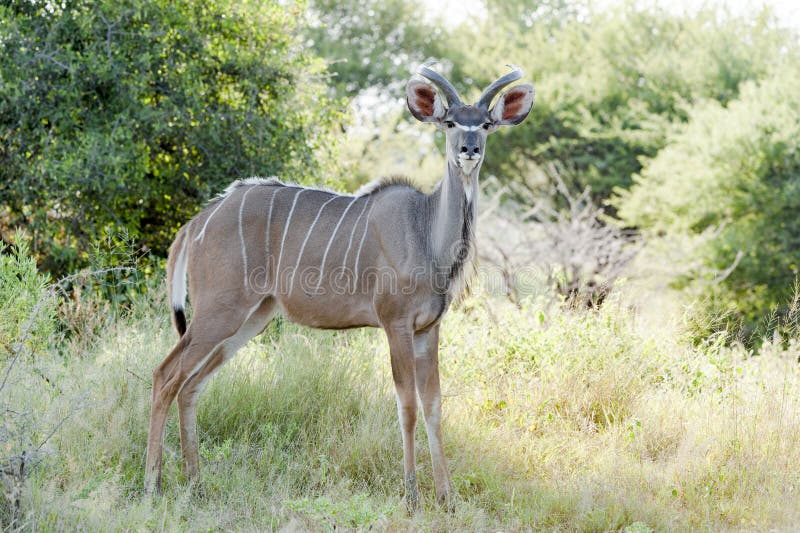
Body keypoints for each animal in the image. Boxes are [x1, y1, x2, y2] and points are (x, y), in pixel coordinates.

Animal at [144, 63, 534, 510]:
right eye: (451, 122)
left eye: (485, 124)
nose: (469, 150)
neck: (424, 229)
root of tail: (195, 224)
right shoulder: (395, 324)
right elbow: (407, 405)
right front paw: (412, 496)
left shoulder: (428, 329)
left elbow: (434, 405)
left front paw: (447, 498)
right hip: (218, 313)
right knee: (166, 375)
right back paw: (152, 485)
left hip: (250, 320)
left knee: (191, 385)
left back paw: (196, 484)